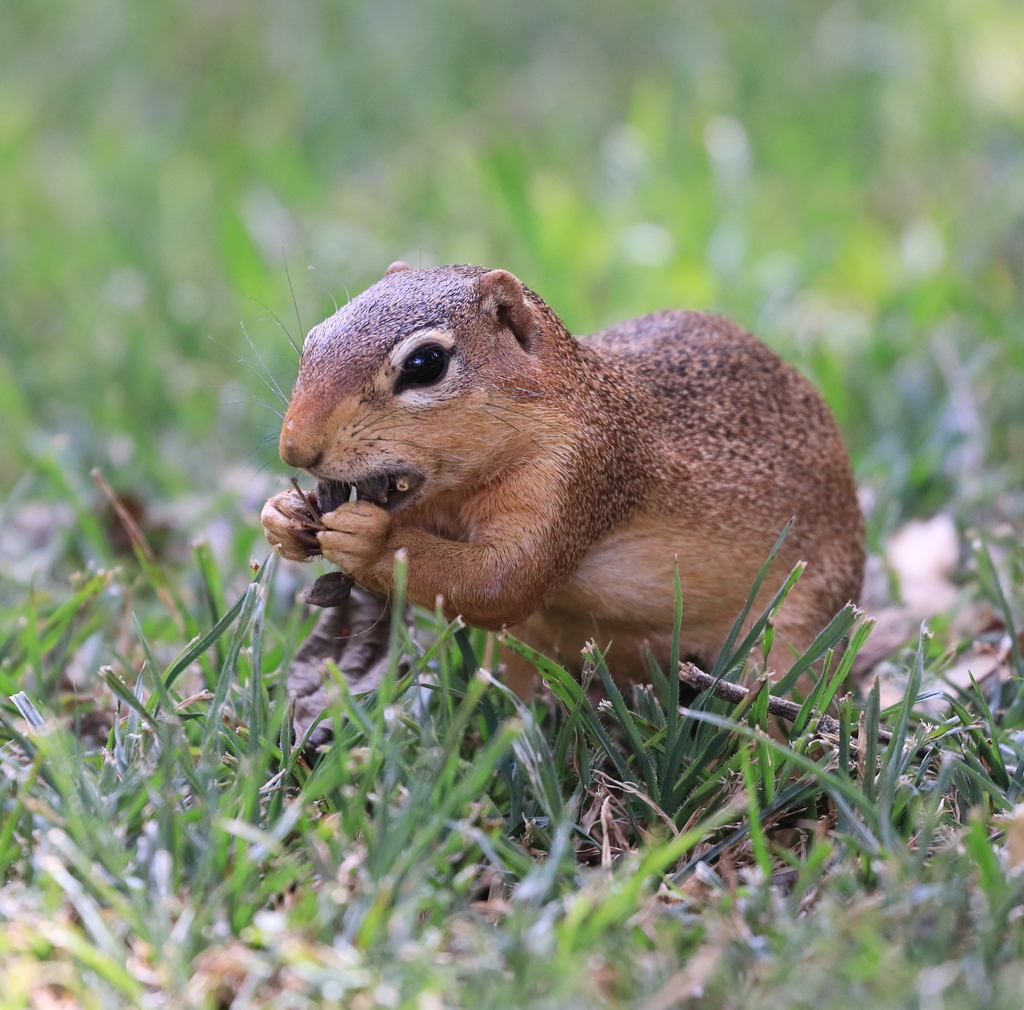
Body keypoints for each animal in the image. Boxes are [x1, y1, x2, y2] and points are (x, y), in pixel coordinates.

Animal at [262, 262, 864, 694]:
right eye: (315, 337)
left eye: (425, 363)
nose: (295, 447)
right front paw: (282, 516)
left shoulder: (579, 475)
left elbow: (503, 579)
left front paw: (371, 538)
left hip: (792, 634)